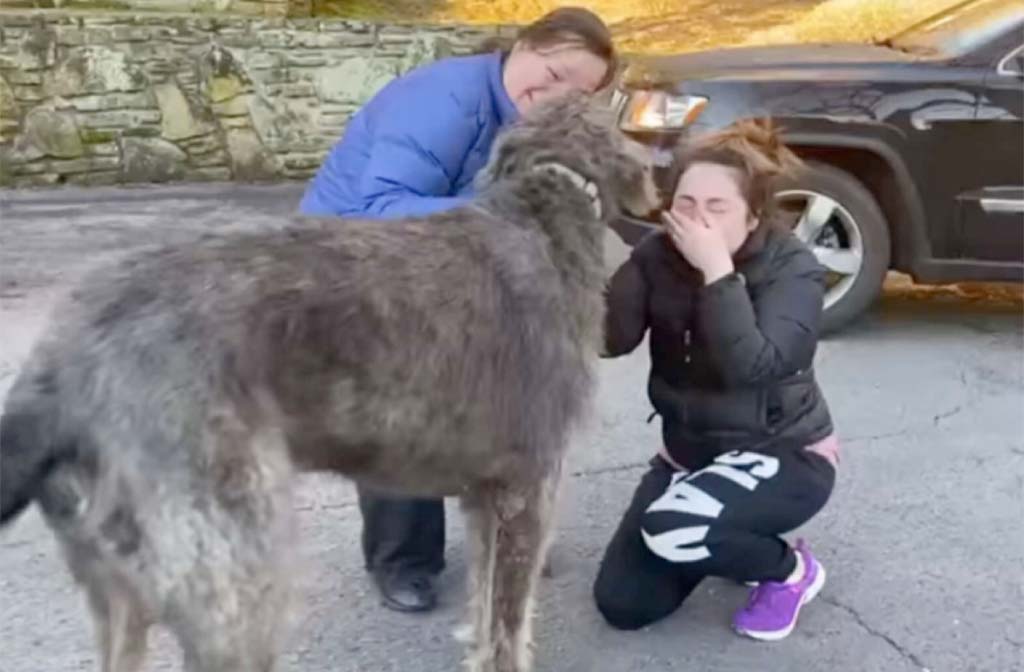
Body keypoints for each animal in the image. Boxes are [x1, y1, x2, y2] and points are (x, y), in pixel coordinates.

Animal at [0, 98, 655, 672]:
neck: (545, 207)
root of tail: (60, 363)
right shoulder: (528, 486)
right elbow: (508, 625)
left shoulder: (483, 495)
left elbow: (483, 608)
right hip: (236, 572)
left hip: (117, 582)